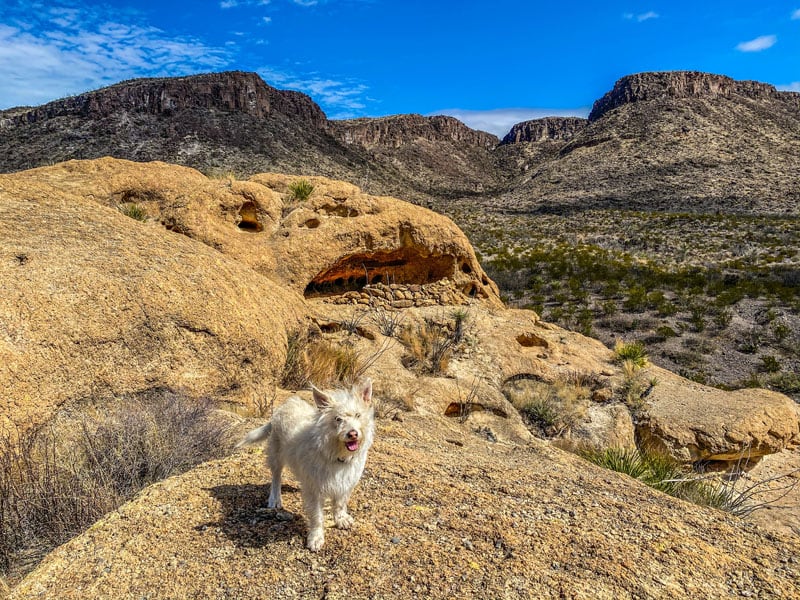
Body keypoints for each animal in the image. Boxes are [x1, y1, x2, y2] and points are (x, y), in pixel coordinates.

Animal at [238, 378, 376, 552]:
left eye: (358, 415)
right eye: (338, 419)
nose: (352, 434)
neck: (335, 453)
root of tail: (285, 404)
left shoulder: (345, 483)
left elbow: (339, 504)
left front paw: (341, 519)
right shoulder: (314, 491)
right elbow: (317, 516)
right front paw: (316, 538)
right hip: (276, 456)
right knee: (276, 477)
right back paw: (274, 499)